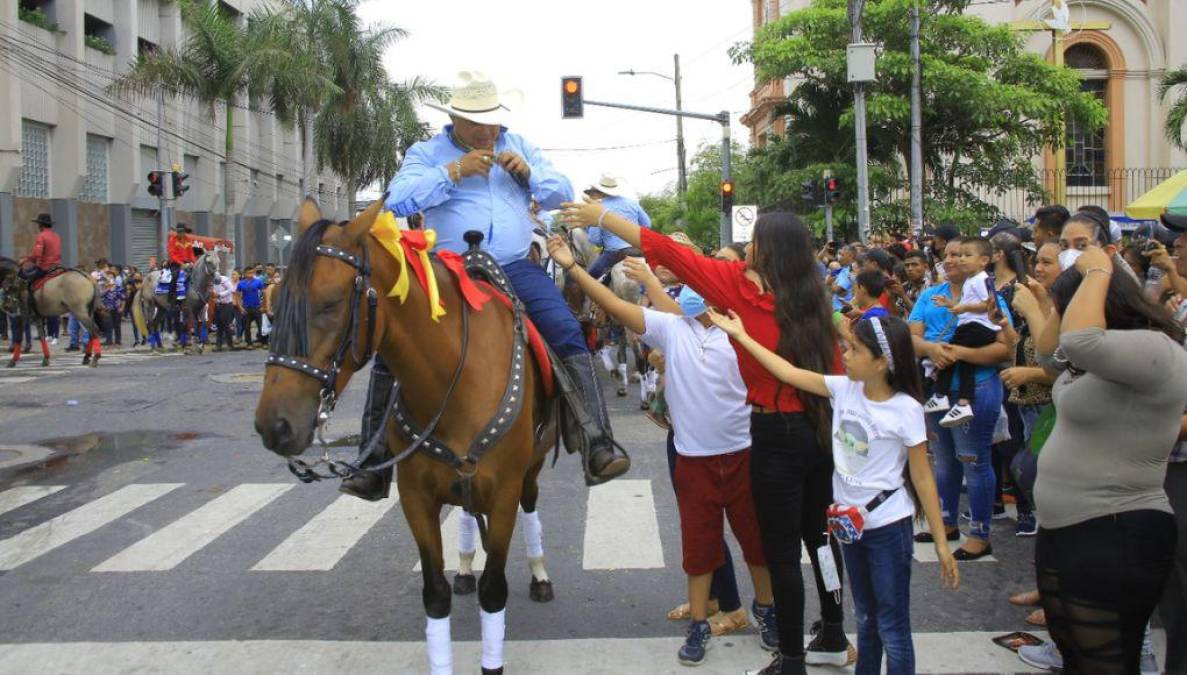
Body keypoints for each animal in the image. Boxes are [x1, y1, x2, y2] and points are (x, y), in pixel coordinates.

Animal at [254, 200, 555, 673]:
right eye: (276, 301)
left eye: (330, 304)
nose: (274, 425)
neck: (456, 375)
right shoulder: (416, 496)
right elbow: (435, 595)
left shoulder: (504, 492)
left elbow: (494, 591)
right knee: (467, 511)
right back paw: (465, 565)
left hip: (532, 468)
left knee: (531, 503)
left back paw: (540, 573)